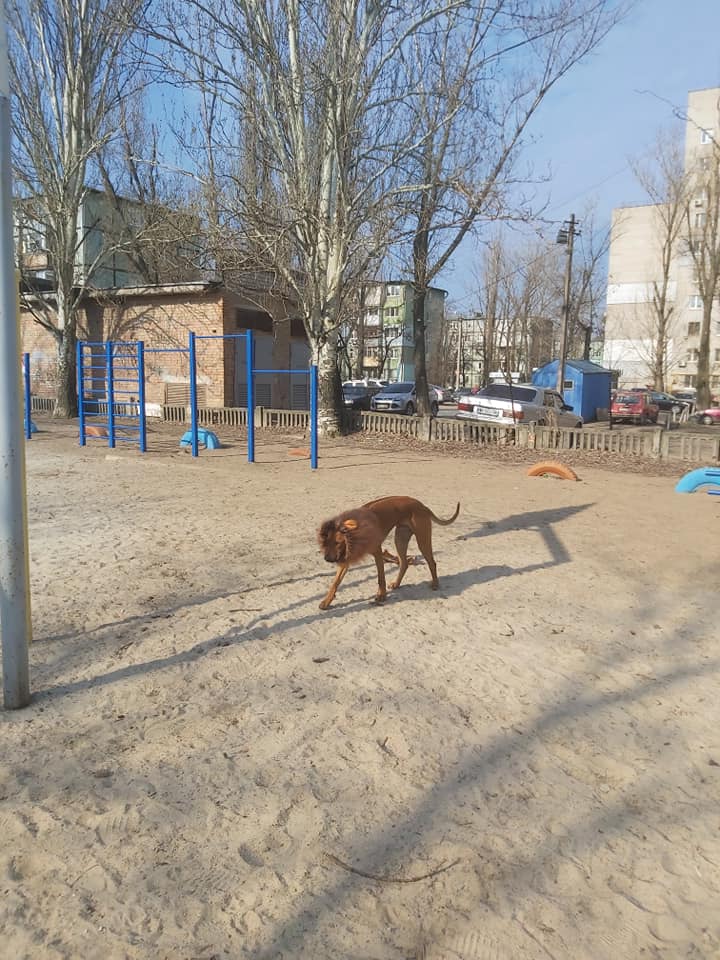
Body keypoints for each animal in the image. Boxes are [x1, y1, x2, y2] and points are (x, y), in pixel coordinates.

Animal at [316, 496, 462, 608]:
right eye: (325, 543)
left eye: (337, 542)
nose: (327, 559)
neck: (356, 533)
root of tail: (422, 505)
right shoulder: (346, 558)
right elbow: (335, 583)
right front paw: (326, 601)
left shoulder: (377, 553)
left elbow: (381, 578)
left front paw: (381, 595)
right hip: (400, 539)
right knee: (404, 563)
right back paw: (397, 584)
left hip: (422, 540)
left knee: (432, 562)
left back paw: (435, 584)